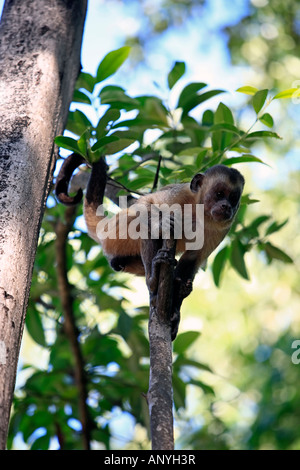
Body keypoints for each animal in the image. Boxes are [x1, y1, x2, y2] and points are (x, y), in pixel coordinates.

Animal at [56, 154, 244, 338]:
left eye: (233, 199)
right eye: (219, 194)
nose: (226, 206)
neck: (199, 211)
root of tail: (105, 227)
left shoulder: (223, 228)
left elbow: (193, 258)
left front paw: (176, 309)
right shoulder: (180, 195)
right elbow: (146, 203)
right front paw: (160, 223)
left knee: (120, 262)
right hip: (116, 234)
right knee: (143, 224)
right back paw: (152, 280)